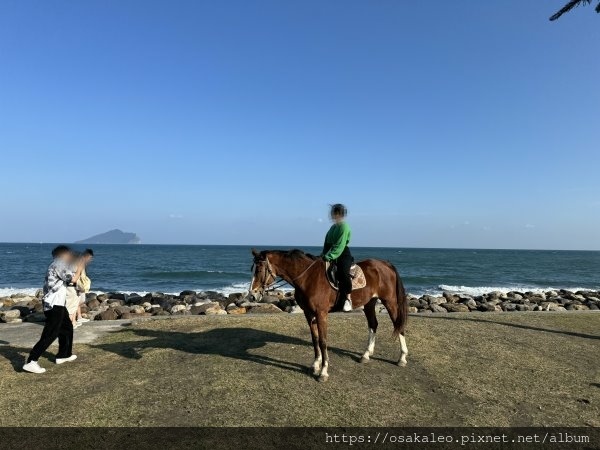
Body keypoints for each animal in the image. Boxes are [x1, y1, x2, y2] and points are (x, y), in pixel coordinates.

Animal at [248, 248, 408, 382]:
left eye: (259, 269)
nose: (252, 296)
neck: (308, 278)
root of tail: (386, 264)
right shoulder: (308, 314)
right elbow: (315, 339)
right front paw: (315, 365)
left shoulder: (321, 314)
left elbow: (323, 341)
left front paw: (323, 372)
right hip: (369, 303)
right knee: (373, 324)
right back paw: (366, 355)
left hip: (390, 302)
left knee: (398, 325)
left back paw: (402, 358)